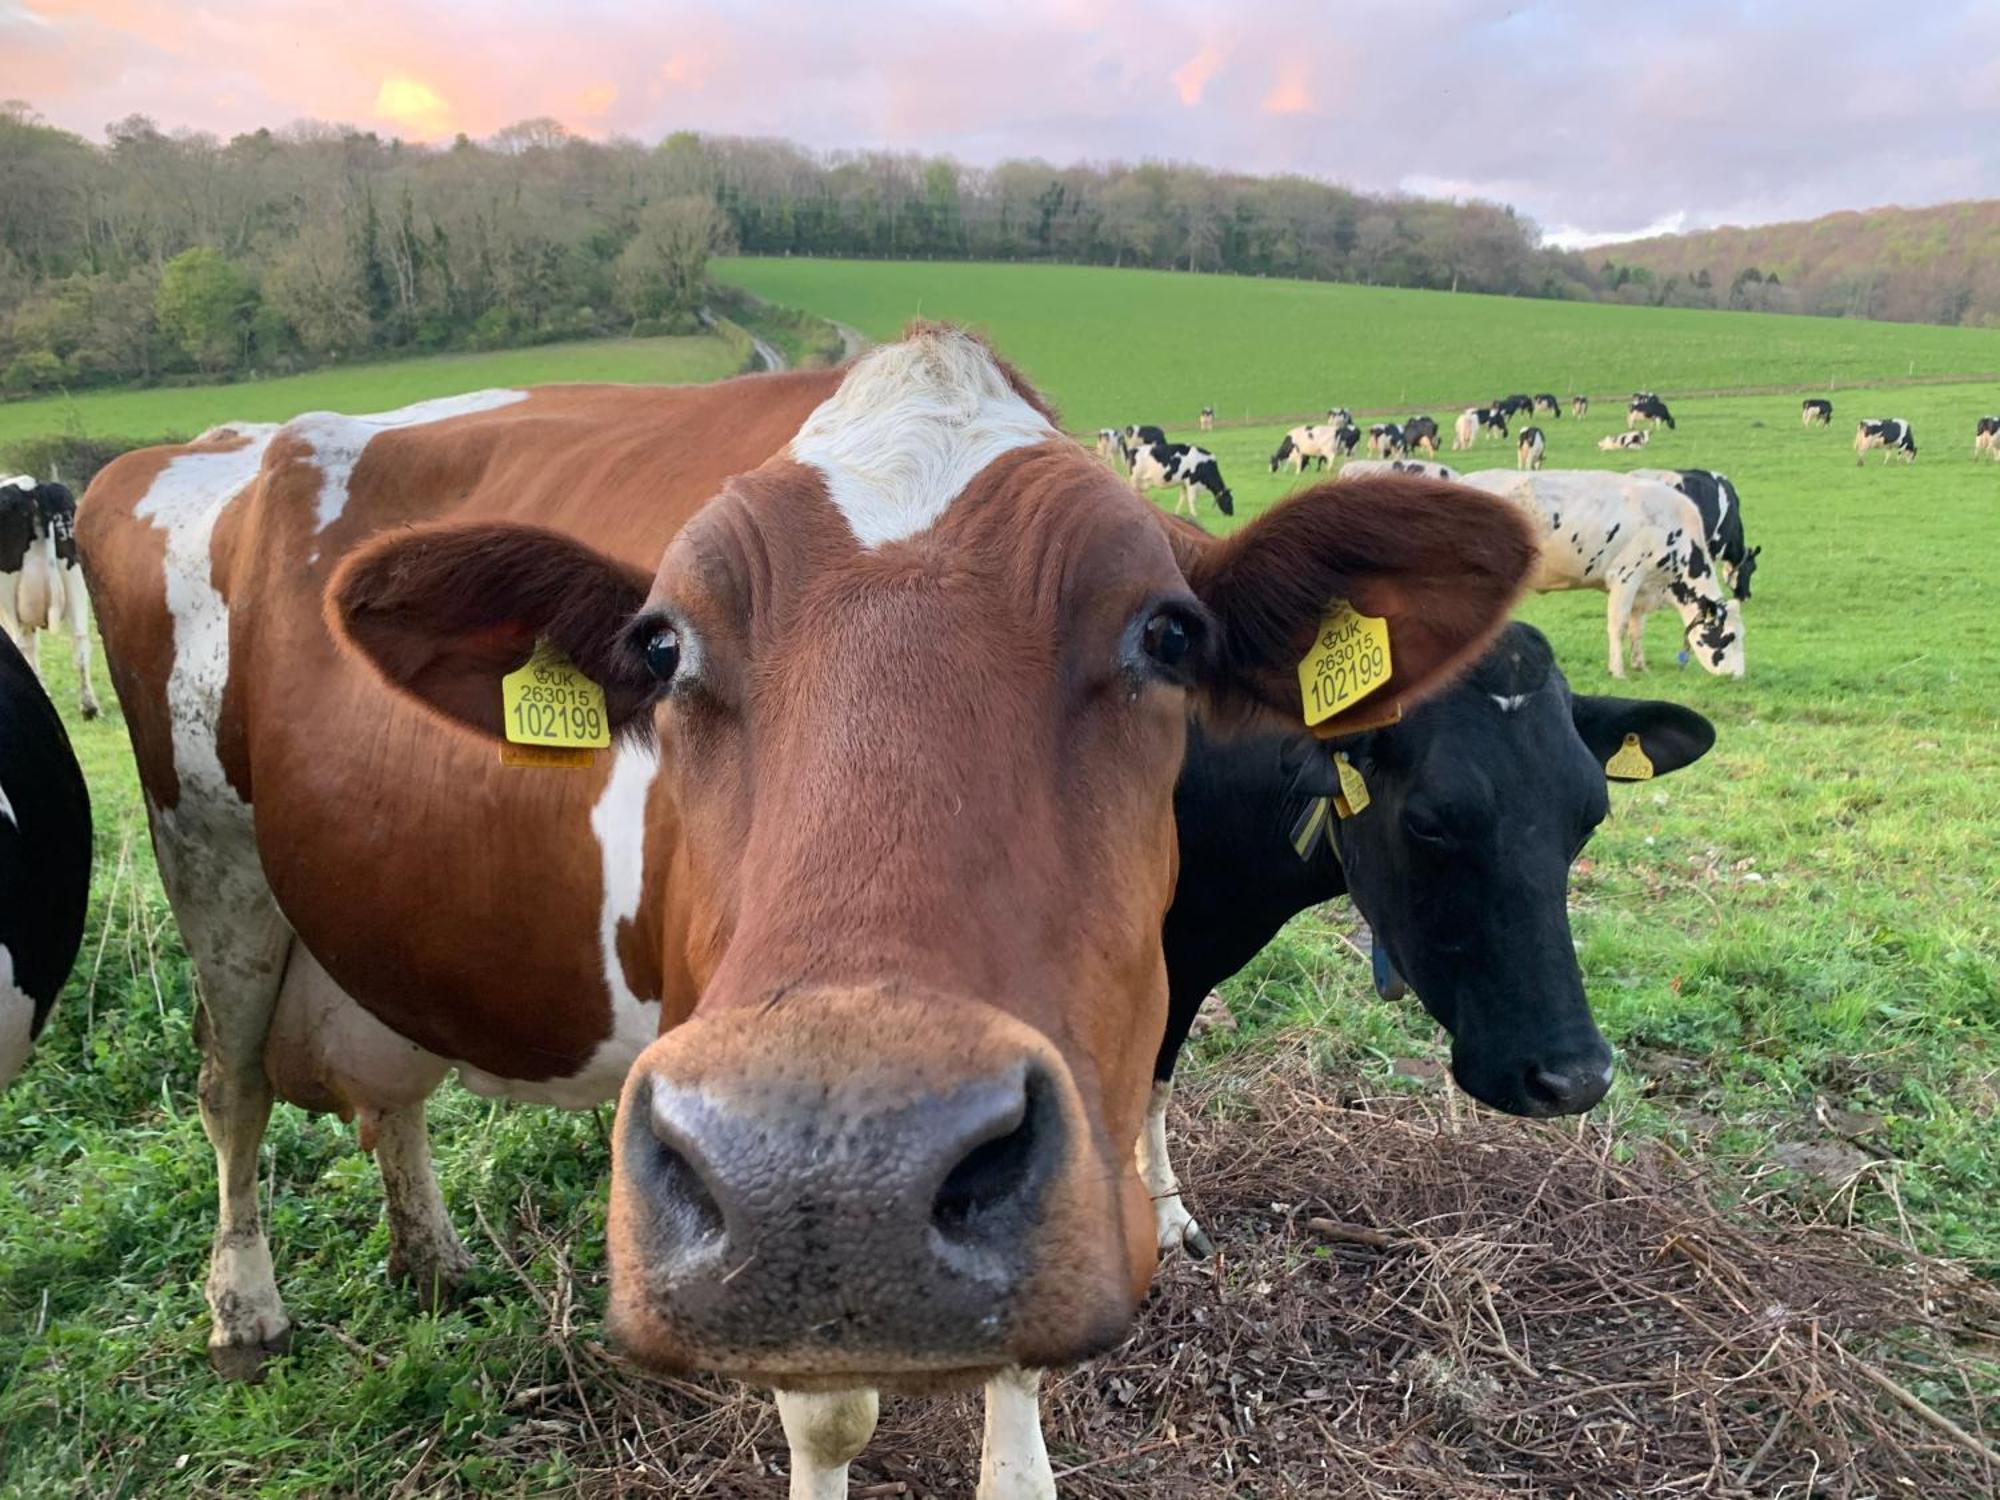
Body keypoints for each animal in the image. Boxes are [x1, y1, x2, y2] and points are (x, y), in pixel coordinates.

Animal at [0, 478, 101, 720]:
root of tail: (31, 486)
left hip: (6, 590)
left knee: (21, 644)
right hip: (75, 574)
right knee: (80, 639)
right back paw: (89, 706)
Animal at [78, 332, 1528, 1500]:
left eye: (1167, 636)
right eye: (660, 646)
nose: (847, 1166)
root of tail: (198, 443)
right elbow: (829, 1418)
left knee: (392, 1094)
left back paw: (431, 1254)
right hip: (209, 861)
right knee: (229, 1091)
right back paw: (245, 1310)